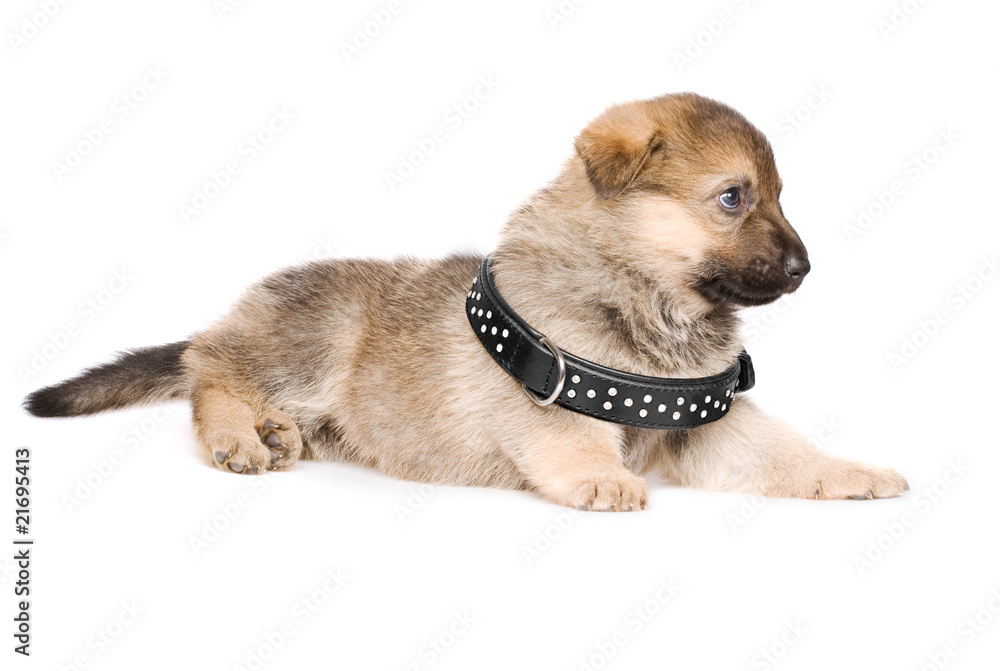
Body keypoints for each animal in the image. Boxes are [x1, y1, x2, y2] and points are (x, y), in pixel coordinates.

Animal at [27, 93, 912, 510]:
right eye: (733, 197)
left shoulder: (702, 425)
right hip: (307, 342)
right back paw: (240, 436)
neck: (642, 299)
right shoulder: (552, 402)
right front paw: (602, 477)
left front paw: (847, 470)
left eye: (780, 196)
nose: (804, 267)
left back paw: (279, 432)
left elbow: (783, 451)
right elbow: (574, 439)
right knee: (209, 374)